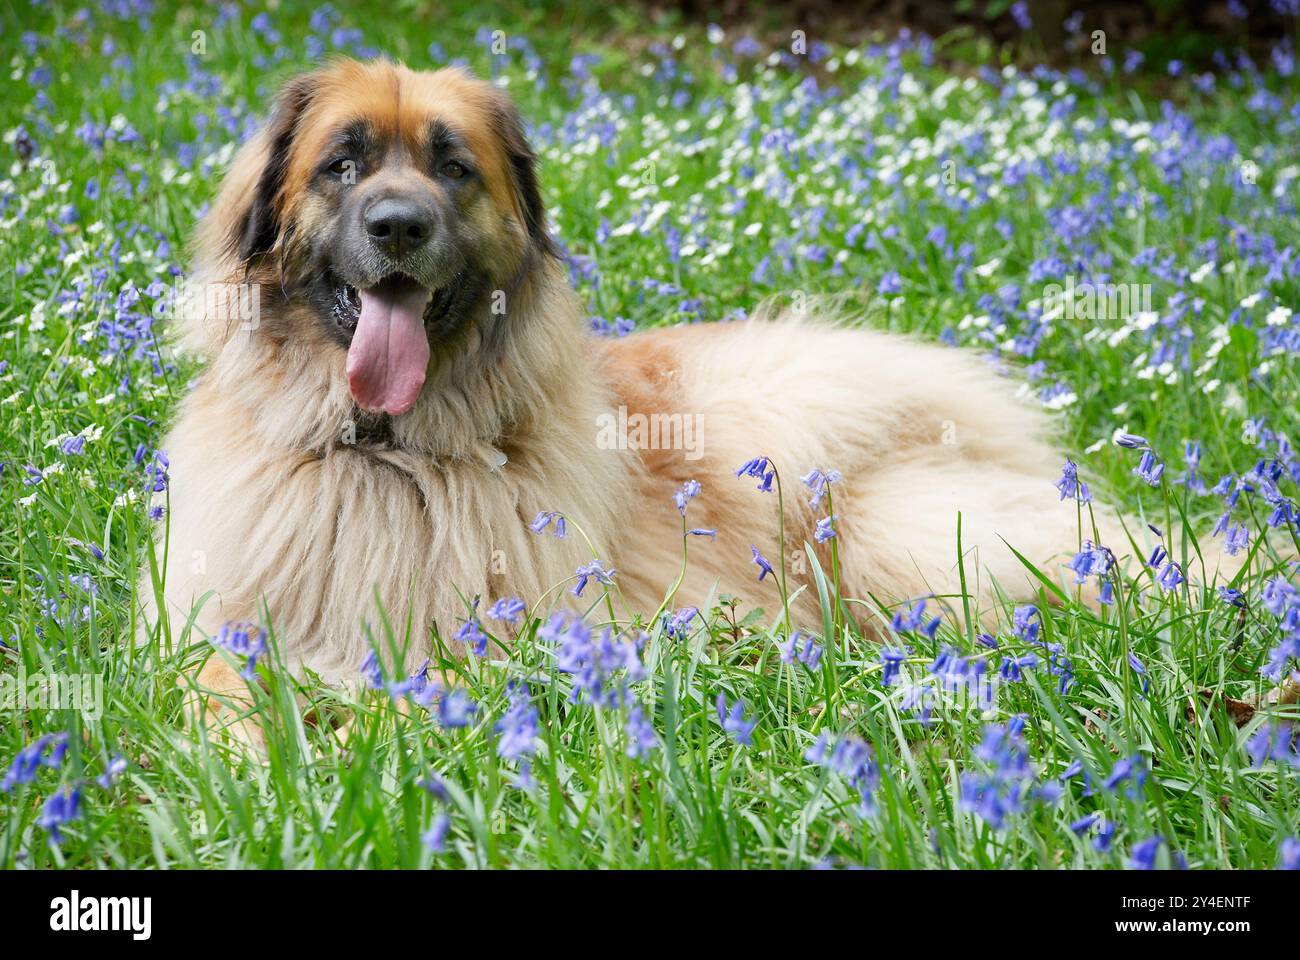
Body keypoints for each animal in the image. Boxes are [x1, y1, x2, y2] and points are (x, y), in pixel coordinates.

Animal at [139, 55, 1190, 738]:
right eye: (342, 164)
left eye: (453, 167)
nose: (399, 227)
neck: (385, 451)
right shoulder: (212, 618)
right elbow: (218, 684)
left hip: (896, 531)